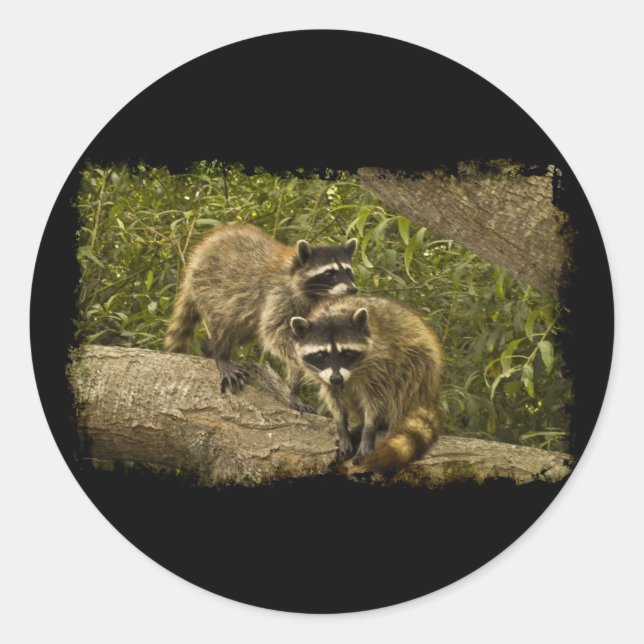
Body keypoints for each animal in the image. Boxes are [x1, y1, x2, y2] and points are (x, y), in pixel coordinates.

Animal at [164, 222, 358, 412]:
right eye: (329, 273)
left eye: (348, 272)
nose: (352, 289)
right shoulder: (278, 294)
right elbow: (276, 334)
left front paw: (295, 387)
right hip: (211, 285)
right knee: (225, 322)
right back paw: (220, 354)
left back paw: (208, 348)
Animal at [290, 296, 443, 474]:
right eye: (321, 355)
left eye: (346, 353)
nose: (337, 378)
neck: (332, 313)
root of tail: (430, 395)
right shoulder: (325, 377)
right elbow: (334, 399)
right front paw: (342, 427)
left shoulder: (380, 363)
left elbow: (375, 400)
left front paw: (368, 430)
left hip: (419, 363)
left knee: (404, 387)